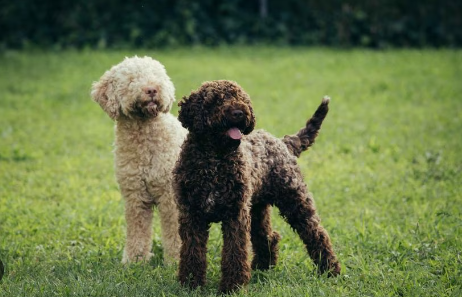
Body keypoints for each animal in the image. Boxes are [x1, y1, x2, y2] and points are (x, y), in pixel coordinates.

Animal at [91, 56, 187, 262]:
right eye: (131, 80)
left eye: (156, 76)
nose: (151, 89)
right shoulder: (135, 195)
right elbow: (137, 230)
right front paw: (135, 260)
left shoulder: (170, 197)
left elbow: (175, 232)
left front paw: (175, 261)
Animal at [173, 80, 340, 292]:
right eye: (216, 99)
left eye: (242, 98)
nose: (239, 112)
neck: (214, 160)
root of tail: (283, 142)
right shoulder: (192, 215)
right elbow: (192, 252)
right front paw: (191, 284)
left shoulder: (235, 215)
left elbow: (235, 251)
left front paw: (233, 286)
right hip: (257, 209)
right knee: (268, 237)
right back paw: (263, 267)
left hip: (295, 201)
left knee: (317, 234)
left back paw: (330, 269)